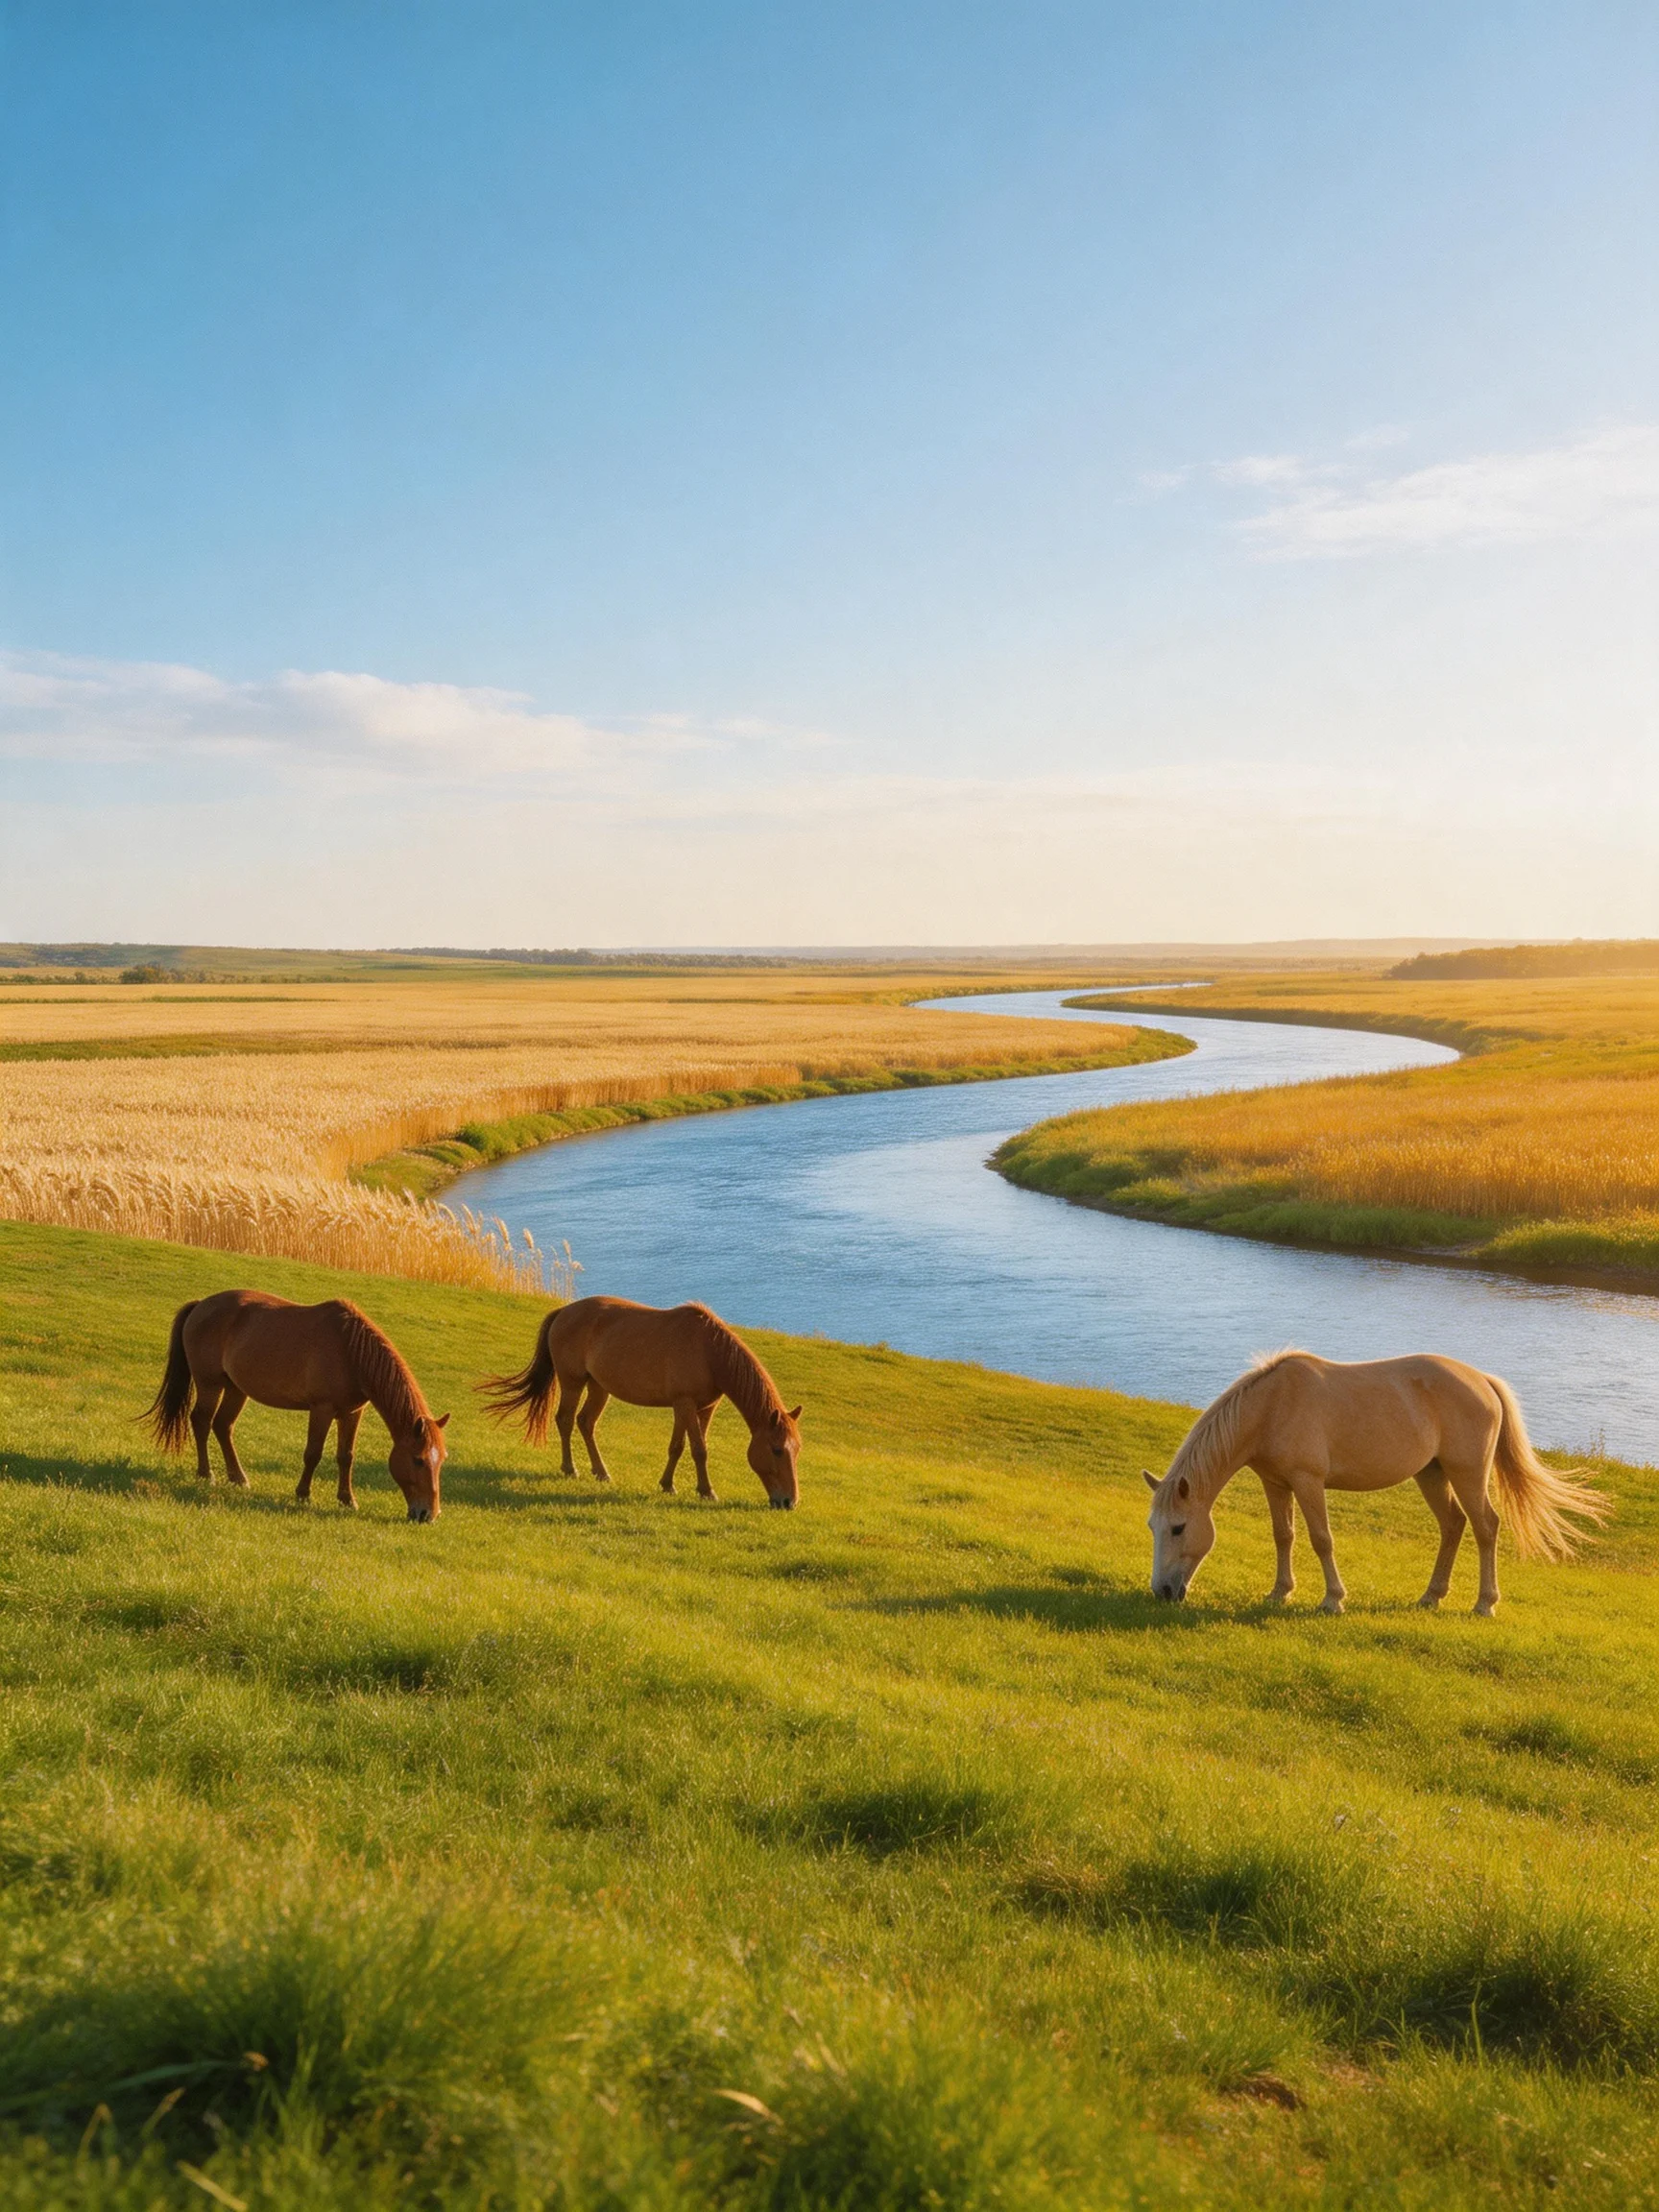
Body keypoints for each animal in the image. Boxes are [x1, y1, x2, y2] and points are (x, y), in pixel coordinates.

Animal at [145, 1291, 448, 1521]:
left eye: (441, 1460)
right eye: (418, 1459)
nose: (428, 1515)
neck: (351, 1352)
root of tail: (200, 1305)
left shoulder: (352, 1413)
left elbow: (345, 1456)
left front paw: (347, 1499)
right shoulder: (322, 1409)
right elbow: (313, 1454)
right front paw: (303, 1494)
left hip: (235, 1389)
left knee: (223, 1426)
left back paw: (238, 1478)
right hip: (210, 1385)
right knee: (202, 1422)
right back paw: (206, 1474)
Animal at [481, 1296, 802, 1507]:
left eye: (796, 1450)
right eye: (776, 1450)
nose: (788, 1502)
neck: (710, 1352)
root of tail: (563, 1312)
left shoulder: (699, 1408)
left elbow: (678, 1447)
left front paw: (668, 1485)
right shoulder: (685, 1404)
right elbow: (699, 1450)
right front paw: (706, 1491)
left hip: (599, 1387)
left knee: (586, 1423)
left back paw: (601, 1472)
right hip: (572, 1382)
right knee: (566, 1420)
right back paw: (570, 1469)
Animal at [1144, 1350, 1607, 1616]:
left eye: (1178, 1528)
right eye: (1153, 1527)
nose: (1162, 1591)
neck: (1273, 1406)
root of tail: (1484, 1382)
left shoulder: (1308, 1482)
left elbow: (1321, 1539)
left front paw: (1332, 1599)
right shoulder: (1276, 1484)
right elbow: (1283, 1536)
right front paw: (1279, 1592)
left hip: (1467, 1474)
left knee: (1485, 1527)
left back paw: (1484, 1603)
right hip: (1431, 1474)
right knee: (1453, 1525)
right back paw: (1431, 1596)